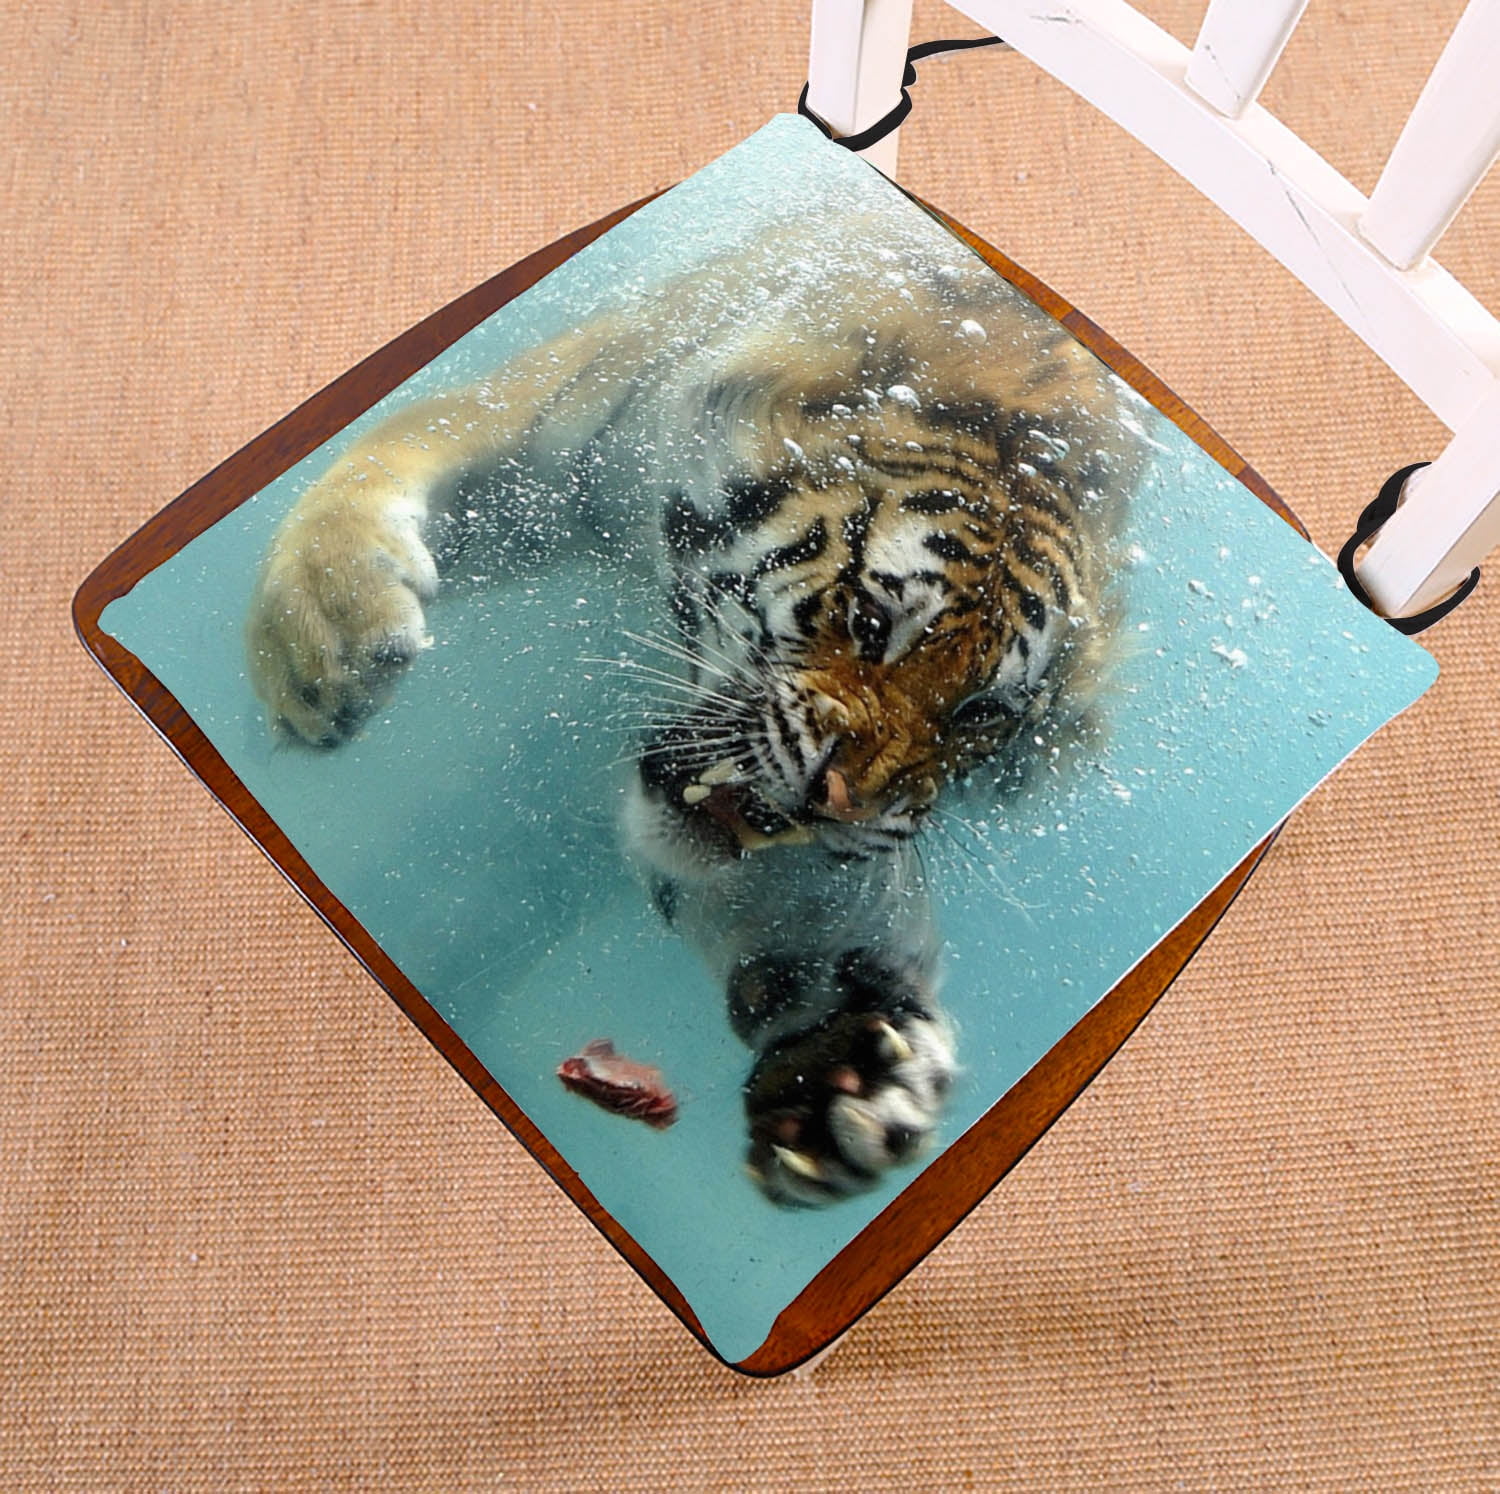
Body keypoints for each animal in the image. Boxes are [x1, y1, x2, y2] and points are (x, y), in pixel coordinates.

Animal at [246, 209, 1141, 1206]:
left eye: (981, 718)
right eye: (872, 622)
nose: (843, 802)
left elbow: (790, 903)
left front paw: (843, 1068)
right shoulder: (549, 440)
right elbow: (384, 451)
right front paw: (327, 636)